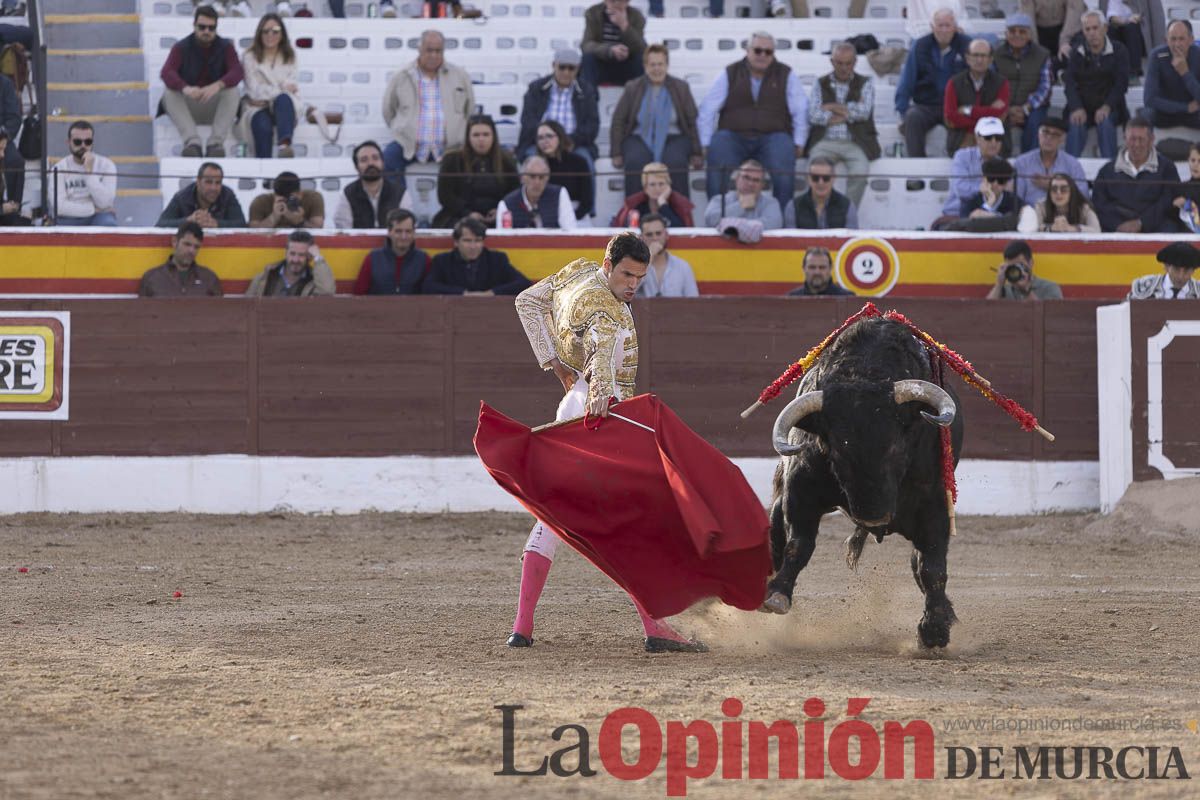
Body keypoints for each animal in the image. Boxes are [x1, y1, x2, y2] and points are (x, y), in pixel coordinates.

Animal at [763, 316, 969, 647]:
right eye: (836, 450)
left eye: (897, 447)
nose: (873, 516)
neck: (865, 373)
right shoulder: (800, 491)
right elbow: (798, 544)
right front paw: (778, 594)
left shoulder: (935, 501)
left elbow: (932, 567)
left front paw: (935, 629)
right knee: (776, 535)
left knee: (919, 563)